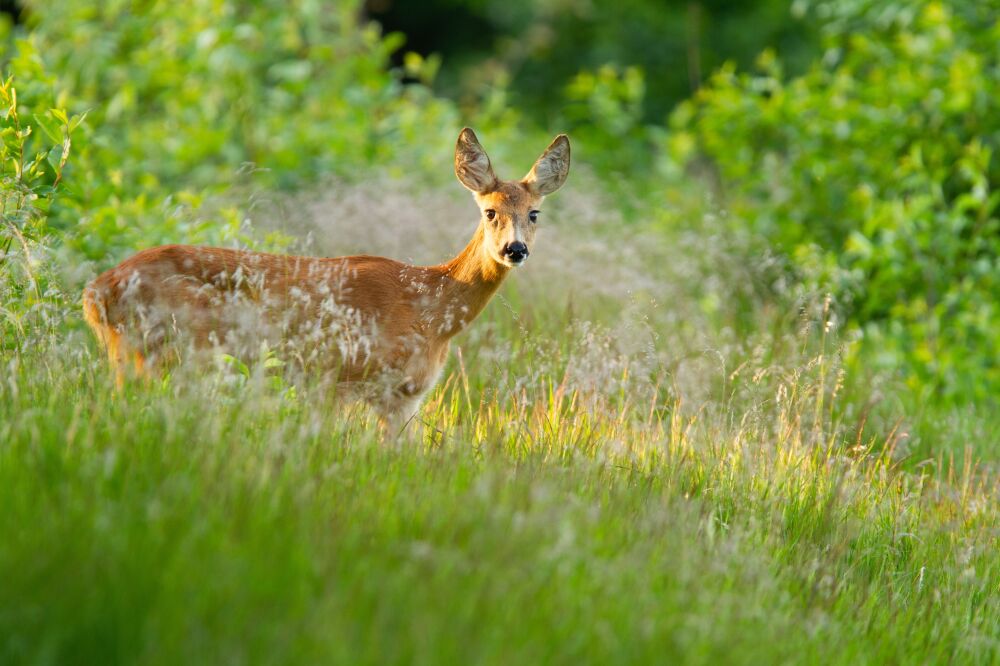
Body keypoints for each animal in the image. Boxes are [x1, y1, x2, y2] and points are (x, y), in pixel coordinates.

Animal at [82, 128, 572, 430]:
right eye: (489, 211)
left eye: (534, 213)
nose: (515, 250)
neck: (431, 310)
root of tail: (95, 292)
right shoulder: (342, 378)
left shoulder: (405, 395)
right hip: (169, 350)